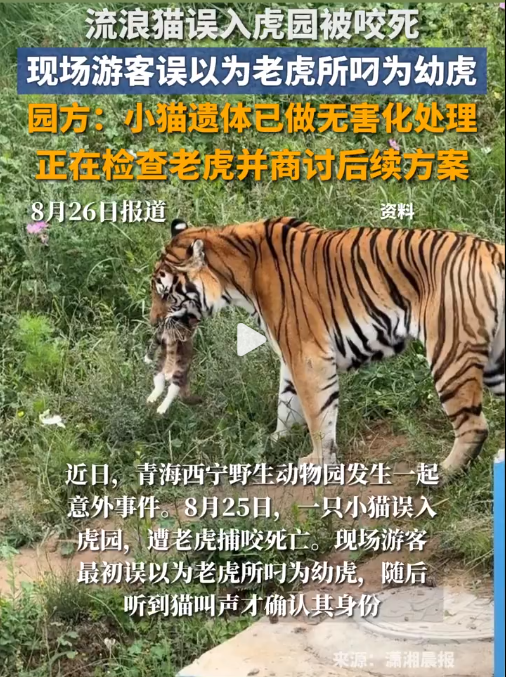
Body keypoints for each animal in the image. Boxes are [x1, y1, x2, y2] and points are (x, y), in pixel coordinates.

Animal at [149, 216, 505, 479]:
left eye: (166, 294)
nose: (152, 322)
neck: (236, 278)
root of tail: (493, 251)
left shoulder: (308, 356)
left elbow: (316, 413)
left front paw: (319, 461)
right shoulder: (291, 355)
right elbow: (286, 403)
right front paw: (276, 440)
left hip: (450, 354)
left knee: (474, 426)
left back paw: (442, 474)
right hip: (495, 360)